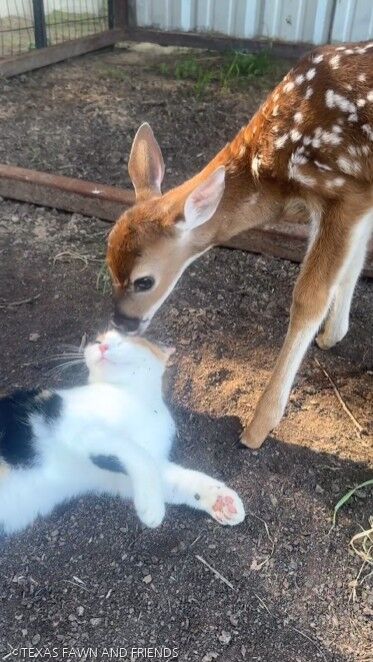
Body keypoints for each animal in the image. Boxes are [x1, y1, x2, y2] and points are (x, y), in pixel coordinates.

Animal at [0, 330, 246, 536]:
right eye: (97, 340)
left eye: (125, 339)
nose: (102, 346)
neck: (138, 397)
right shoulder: (81, 432)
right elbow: (140, 456)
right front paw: (152, 509)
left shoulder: (121, 475)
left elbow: (178, 479)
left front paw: (221, 499)